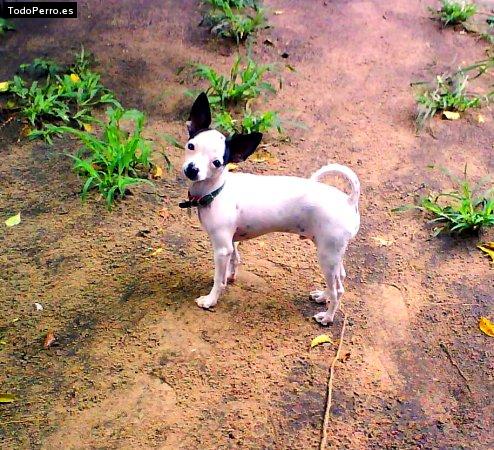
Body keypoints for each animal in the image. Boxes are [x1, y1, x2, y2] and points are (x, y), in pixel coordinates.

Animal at [178, 93, 358, 324]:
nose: (192, 170)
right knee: (339, 279)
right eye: (191, 146)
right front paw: (230, 276)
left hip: (327, 256)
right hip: (332, 253)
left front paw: (210, 300)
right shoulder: (231, 242)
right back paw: (322, 296)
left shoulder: (221, 248)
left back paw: (327, 317)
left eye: (217, 163)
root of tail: (349, 201)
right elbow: (235, 260)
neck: (218, 189)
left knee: (338, 291)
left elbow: (218, 280)